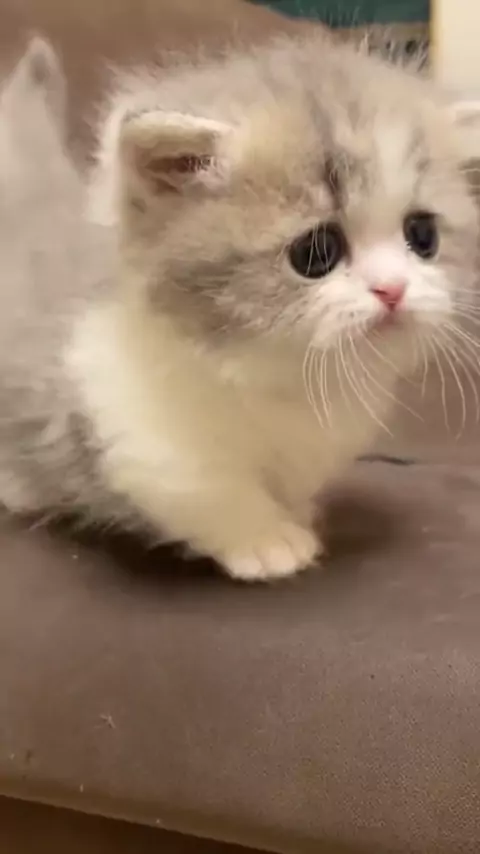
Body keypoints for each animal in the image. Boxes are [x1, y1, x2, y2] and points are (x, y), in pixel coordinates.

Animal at [2, 33, 480, 581]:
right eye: (316, 252)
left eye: (422, 236)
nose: (392, 290)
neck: (275, 378)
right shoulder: (124, 415)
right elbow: (205, 490)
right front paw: (267, 538)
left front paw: (297, 515)